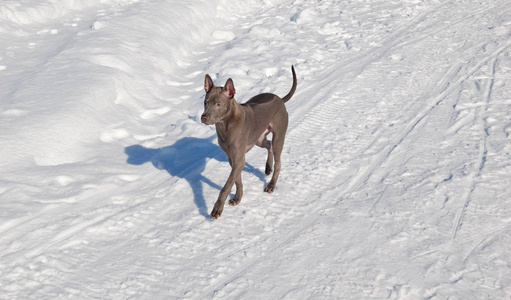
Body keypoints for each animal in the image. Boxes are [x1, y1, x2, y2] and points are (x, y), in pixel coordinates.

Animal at [200, 66, 296, 218]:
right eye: (205, 102)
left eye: (219, 104)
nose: (204, 117)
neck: (225, 125)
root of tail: (279, 99)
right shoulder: (232, 159)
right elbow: (237, 181)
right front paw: (237, 198)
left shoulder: (238, 160)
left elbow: (226, 187)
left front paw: (217, 209)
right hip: (259, 138)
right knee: (268, 145)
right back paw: (268, 167)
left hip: (279, 136)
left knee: (278, 161)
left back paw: (271, 185)